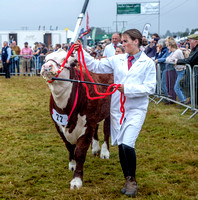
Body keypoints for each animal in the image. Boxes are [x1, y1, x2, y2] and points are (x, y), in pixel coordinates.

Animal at [40, 49, 113, 189]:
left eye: (67, 59)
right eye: (46, 59)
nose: (47, 66)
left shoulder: (87, 125)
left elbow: (79, 151)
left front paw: (76, 180)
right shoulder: (58, 124)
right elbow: (69, 146)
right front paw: (72, 165)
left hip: (110, 111)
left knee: (107, 131)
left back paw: (104, 152)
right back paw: (95, 148)